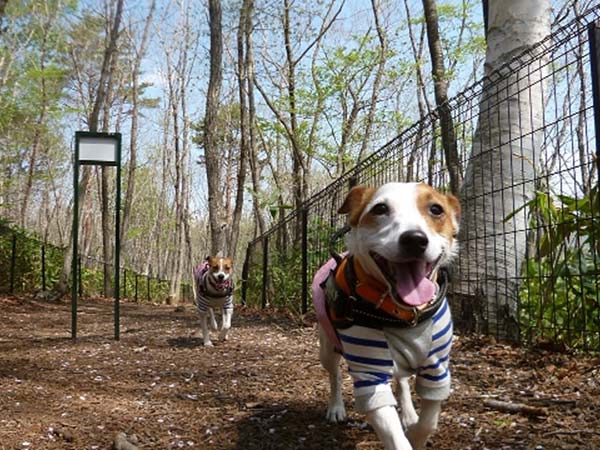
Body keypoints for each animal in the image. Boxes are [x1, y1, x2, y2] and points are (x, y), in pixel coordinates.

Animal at [312, 183, 462, 450]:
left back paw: (409, 413)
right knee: (335, 375)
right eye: (380, 209)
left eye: (436, 209)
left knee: (401, 381)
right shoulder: (370, 375)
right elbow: (392, 432)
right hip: (327, 348)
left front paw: (416, 433)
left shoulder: (437, 368)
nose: (414, 239)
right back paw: (336, 407)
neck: (404, 315)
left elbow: (428, 421)